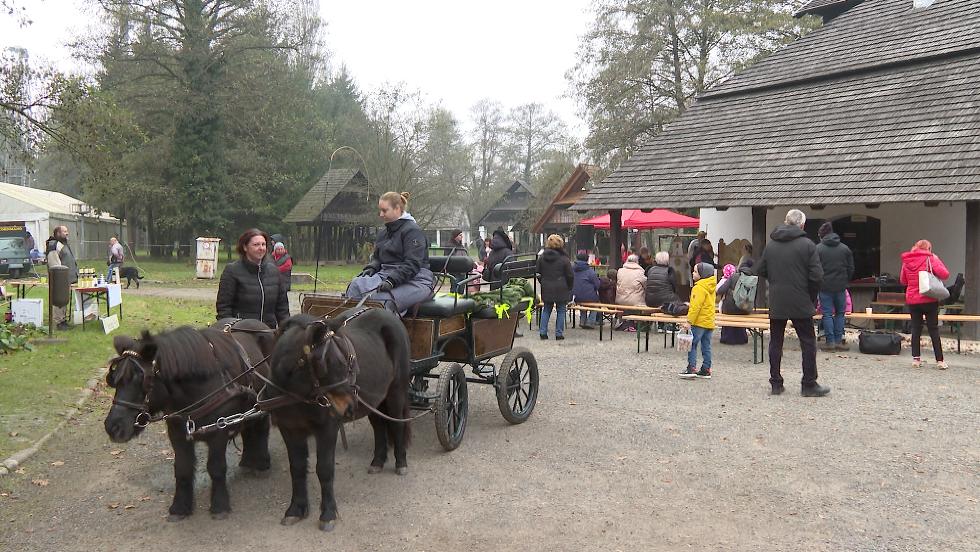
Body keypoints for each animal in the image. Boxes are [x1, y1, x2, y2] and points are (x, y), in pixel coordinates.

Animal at [103, 320, 274, 520]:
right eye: (115, 379)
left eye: (142, 380)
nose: (112, 427)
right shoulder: (177, 433)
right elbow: (182, 469)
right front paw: (180, 507)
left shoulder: (219, 430)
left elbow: (216, 468)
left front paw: (220, 505)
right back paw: (248, 460)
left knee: (262, 426)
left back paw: (261, 462)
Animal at [266, 310, 412, 532]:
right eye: (328, 363)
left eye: (344, 363)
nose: (349, 406)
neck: (295, 393)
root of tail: (390, 316)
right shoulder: (290, 430)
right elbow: (297, 468)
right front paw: (295, 510)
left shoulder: (327, 429)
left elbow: (324, 469)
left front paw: (327, 514)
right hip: (373, 401)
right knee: (379, 426)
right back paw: (377, 461)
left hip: (396, 393)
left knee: (397, 424)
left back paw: (401, 463)